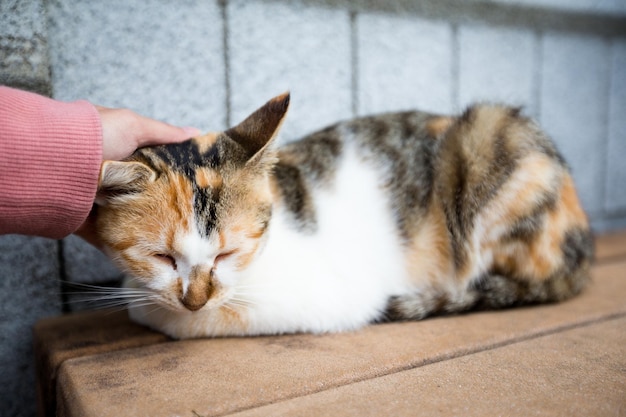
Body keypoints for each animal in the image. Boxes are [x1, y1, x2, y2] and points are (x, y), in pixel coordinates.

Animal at [95, 93, 592, 338]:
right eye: (161, 257)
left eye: (227, 255)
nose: (194, 299)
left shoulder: (329, 295)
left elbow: (203, 317)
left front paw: (156, 310)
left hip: (491, 137)